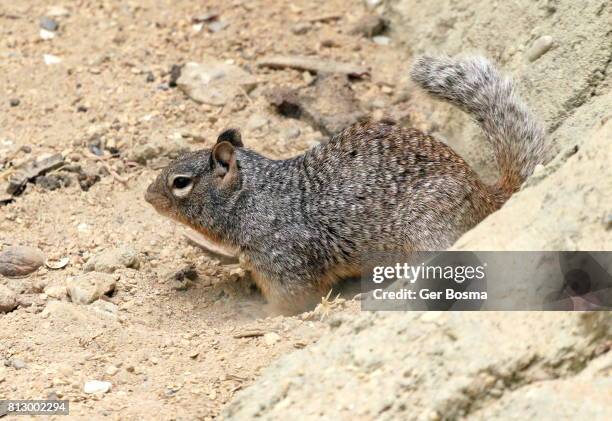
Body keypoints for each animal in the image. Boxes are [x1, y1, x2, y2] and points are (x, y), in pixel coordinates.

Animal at [146, 55, 548, 312]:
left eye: (180, 182)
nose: (147, 195)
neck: (256, 199)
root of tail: (485, 194)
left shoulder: (285, 261)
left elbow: (290, 301)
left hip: (428, 226)